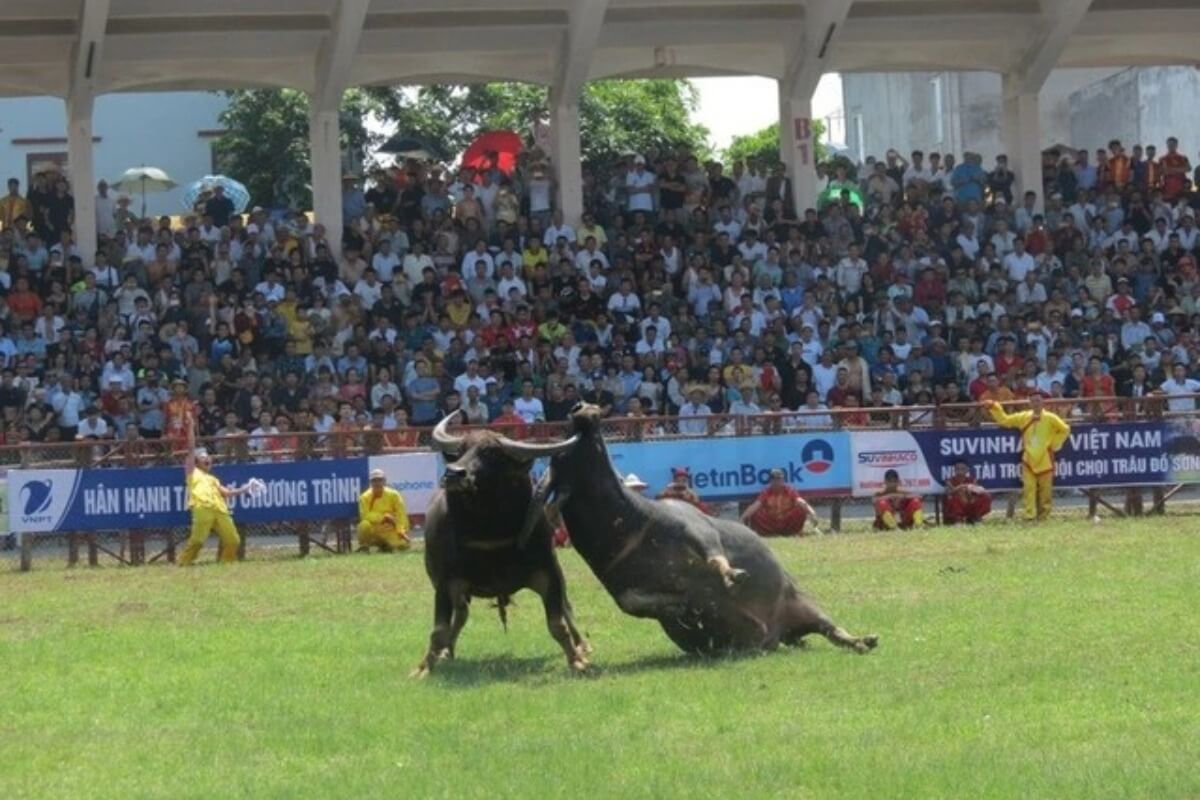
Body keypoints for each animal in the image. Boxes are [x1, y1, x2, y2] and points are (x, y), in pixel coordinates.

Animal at [412, 412, 590, 681]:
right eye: (462, 449)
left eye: (491, 453)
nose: (454, 473)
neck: (489, 533)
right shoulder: (444, 583)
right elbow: (439, 630)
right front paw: (424, 667)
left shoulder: (547, 573)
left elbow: (557, 623)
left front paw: (576, 660)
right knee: (461, 614)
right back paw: (446, 651)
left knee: (567, 608)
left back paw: (582, 645)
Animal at [525, 407, 883, 657]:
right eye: (563, 453)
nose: (582, 410)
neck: (631, 522)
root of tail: (781, 631)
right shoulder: (621, 589)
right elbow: (635, 602)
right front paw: (681, 605)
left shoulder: (694, 528)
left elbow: (714, 556)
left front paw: (731, 576)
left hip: (805, 603)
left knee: (832, 630)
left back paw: (863, 640)